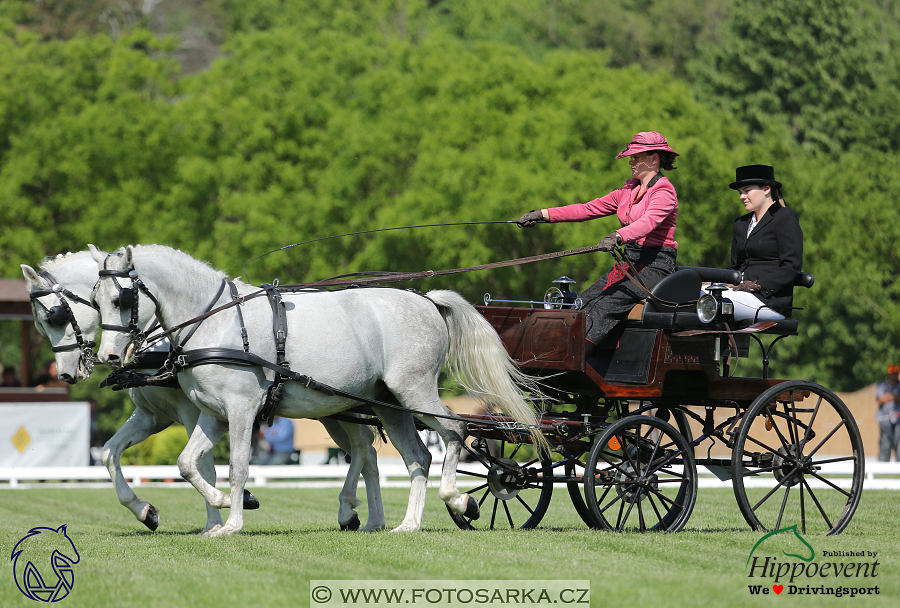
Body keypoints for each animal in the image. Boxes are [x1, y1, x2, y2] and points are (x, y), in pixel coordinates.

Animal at [22, 249, 386, 536]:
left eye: (54, 316)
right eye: (96, 301)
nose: (67, 373)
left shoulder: (194, 412)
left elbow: (204, 466)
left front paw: (221, 514)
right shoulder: (152, 416)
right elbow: (112, 453)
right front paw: (146, 512)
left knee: (363, 449)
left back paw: (351, 510)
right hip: (331, 411)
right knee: (366, 452)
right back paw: (365, 518)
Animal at [93, 243, 540, 536]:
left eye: (122, 298)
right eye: (95, 300)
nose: (109, 357)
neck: (213, 321)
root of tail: (427, 300)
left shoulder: (241, 410)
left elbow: (238, 466)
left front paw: (232, 522)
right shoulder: (212, 414)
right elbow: (187, 464)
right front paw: (224, 504)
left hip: (414, 392)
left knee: (454, 432)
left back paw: (460, 499)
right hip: (388, 404)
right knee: (417, 457)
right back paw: (407, 524)